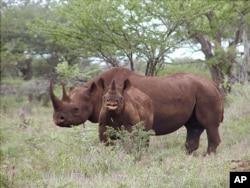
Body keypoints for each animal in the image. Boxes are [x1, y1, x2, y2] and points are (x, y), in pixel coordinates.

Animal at [49, 67, 224, 154]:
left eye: (76, 109)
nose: (58, 119)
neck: (95, 93)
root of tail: (213, 84)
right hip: (199, 91)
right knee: (193, 126)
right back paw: (187, 155)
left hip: (206, 93)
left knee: (209, 125)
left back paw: (207, 156)